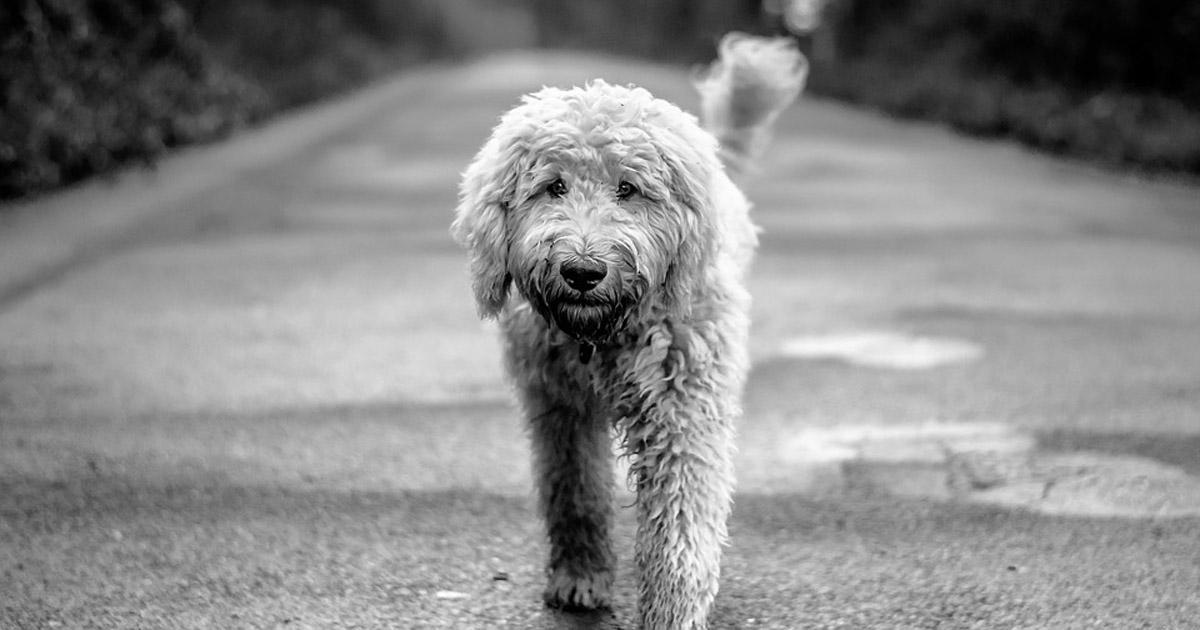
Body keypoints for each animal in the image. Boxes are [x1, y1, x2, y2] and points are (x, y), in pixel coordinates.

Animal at [451, 34, 806, 628]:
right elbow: (575, 491)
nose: (582, 271)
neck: (604, 334)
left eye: (629, 188)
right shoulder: (559, 408)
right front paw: (581, 576)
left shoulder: (683, 409)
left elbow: (680, 521)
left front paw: (672, 612)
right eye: (553, 186)